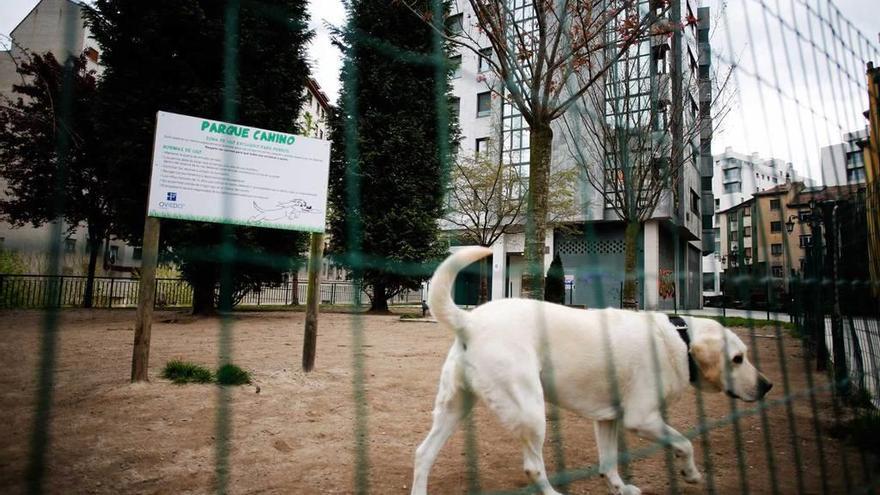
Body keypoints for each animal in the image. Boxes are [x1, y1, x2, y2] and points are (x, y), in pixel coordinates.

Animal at [412, 248, 768, 495]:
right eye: (738, 358)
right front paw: (691, 474)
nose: (768, 386)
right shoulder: (642, 419)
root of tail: (469, 320)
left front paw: (620, 488)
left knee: (423, 454)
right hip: (530, 412)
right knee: (533, 467)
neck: (681, 339)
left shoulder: (608, 420)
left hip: (455, 408)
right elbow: (685, 443)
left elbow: (608, 464)